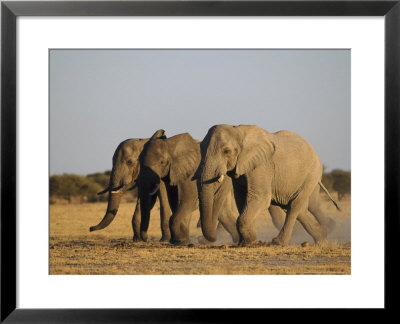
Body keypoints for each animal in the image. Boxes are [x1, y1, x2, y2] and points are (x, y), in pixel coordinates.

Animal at [198, 124, 340, 246]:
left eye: (226, 151)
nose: (211, 239)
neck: (239, 131)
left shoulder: (261, 166)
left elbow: (260, 198)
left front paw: (250, 242)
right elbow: (241, 199)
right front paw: (247, 242)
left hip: (311, 175)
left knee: (294, 205)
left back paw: (278, 242)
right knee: (294, 206)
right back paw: (322, 236)